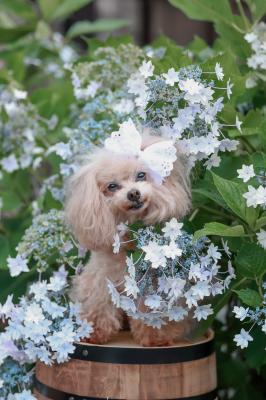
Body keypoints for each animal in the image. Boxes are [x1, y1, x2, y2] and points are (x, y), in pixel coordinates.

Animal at [66, 133, 191, 346]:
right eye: (112, 186)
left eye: (141, 175)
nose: (133, 193)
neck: (129, 239)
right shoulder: (102, 279)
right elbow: (99, 302)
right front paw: (93, 331)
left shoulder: (149, 283)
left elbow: (148, 309)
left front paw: (156, 335)